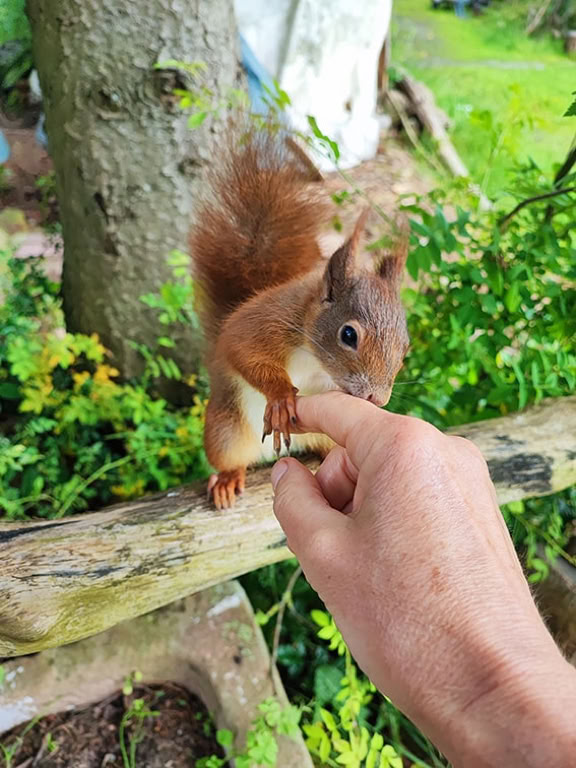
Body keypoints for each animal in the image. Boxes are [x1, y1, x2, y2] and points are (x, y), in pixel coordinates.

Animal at [190, 127, 410, 509]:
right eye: (348, 335)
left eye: (405, 349)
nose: (378, 400)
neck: (314, 360)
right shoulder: (261, 325)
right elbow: (244, 353)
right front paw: (280, 397)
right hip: (225, 430)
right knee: (230, 459)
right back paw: (227, 480)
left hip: (322, 437)